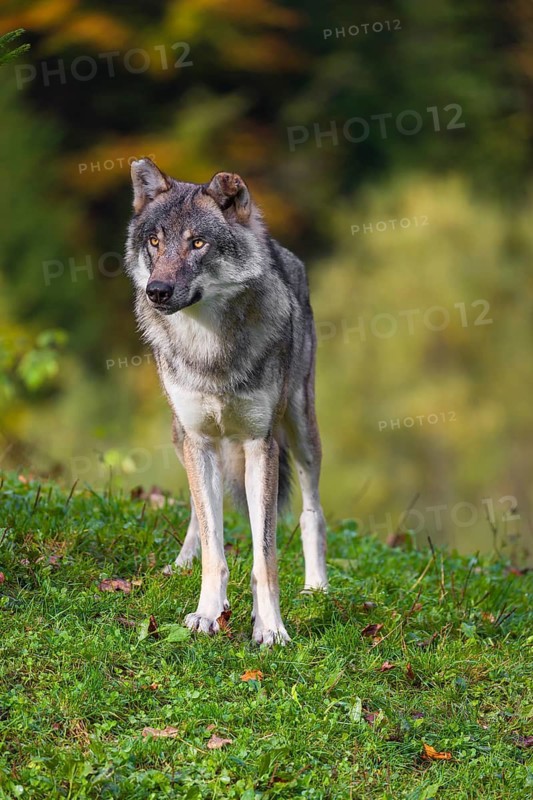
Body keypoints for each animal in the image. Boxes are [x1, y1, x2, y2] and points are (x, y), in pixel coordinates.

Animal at [125, 158, 328, 644]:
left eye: (197, 243)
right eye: (155, 242)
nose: (157, 291)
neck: (208, 348)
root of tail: (278, 247)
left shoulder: (261, 444)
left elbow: (265, 558)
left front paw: (270, 627)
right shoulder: (198, 439)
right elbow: (215, 546)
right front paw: (206, 613)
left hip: (302, 432)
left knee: (312, 512)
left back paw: (317, 587)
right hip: (186, 440)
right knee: (200, 517)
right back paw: (182, 564)